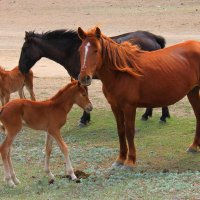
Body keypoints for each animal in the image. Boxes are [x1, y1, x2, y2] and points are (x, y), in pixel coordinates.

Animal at [18, 29, 169, 125]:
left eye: (25, 48)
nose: (20, 67)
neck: (72, 50)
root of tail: (153, 37)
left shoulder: (82, 78)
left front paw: (84, 119)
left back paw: (162, 116)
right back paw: (148, 114)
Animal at [77, 27, 200, 170]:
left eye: (96, 50)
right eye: (80, 50)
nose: (84, 78)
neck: (121, 73)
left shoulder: (129, 107)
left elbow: (130, 132)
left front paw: (130, 161)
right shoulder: (115, 107)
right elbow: (121, 130)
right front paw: (120, 159)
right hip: (192, 91)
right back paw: (194, 146)